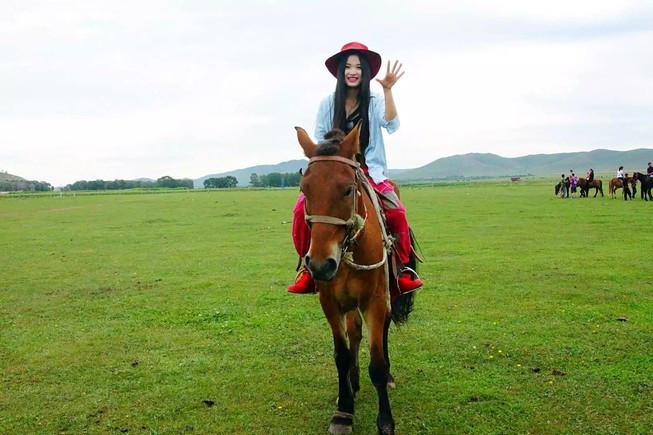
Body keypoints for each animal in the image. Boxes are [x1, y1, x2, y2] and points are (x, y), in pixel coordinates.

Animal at [294, 124, 416, 434]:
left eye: (348, 190)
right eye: (304, 189)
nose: (321, 265)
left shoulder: (375, 301)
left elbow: (377, 363)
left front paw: (385, 421)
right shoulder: (330, 303)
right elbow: (342, 354)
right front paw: (343, 409)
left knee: (382, 332)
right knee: (356, 333)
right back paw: (353, 381)